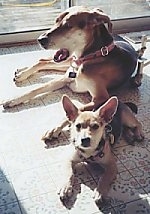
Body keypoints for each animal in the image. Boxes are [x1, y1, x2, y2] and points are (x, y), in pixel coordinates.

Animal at [0, 5, 142, 109]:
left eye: (68, 25)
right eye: (56, 21)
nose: (40, 40)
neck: (94, 55)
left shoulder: (101, 98)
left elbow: (79, 109)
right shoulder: (64, 78)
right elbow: (36, 89)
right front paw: (13, 99)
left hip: (66, 64)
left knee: (44, 62)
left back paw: (20, 72)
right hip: (66, 61)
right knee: (43, 61)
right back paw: (21, 73)